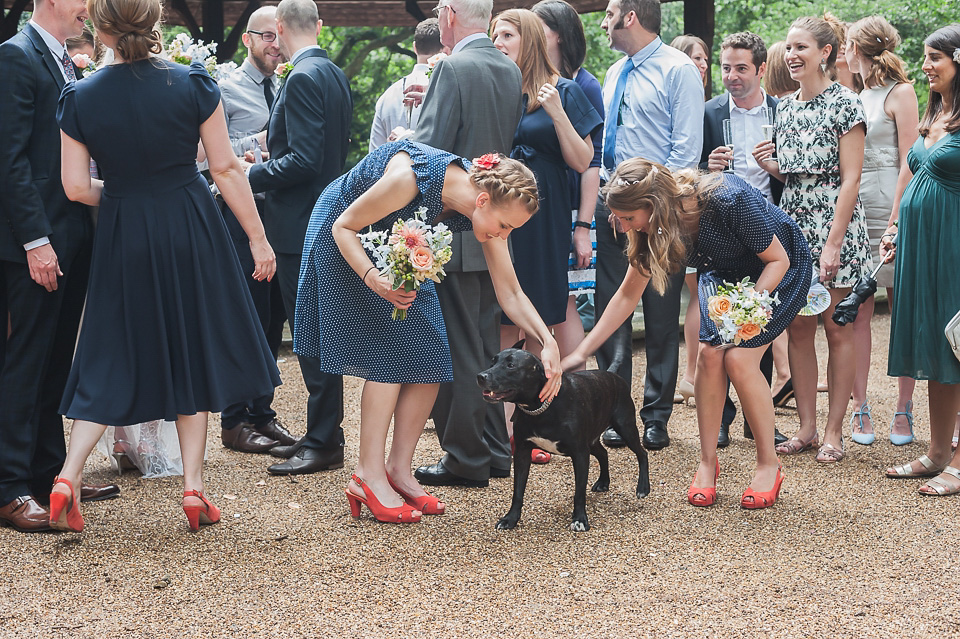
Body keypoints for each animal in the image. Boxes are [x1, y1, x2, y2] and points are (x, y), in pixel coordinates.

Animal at [476, 342, 648, 532]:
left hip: (625, 428)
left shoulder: (580, 454)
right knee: (603, 453)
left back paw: (643, 487)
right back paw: (604, 481)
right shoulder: (522, 453)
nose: (481, 376)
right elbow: (518, 492)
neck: (541, 407)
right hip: (592, 441)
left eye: (511, 365)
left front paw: (580, 519)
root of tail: (611, 374)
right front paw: (511, 519)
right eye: (493, 362)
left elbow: (579, 492)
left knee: (642, 453)